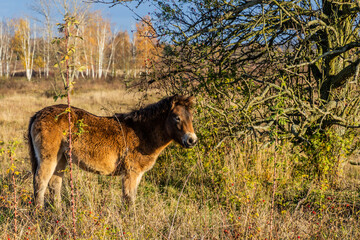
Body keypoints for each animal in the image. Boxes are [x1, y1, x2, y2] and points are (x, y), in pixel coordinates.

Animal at [27, 94, 197, 207]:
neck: (142, 132)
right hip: (48, 159)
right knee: (40, 184)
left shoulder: (137, 175)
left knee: (54, 185)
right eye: (176, 117)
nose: (192, 140)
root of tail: (38, 114)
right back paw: (39, 215)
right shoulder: (131, 174)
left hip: (61, 159)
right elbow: (129, 200)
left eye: (191, 117)